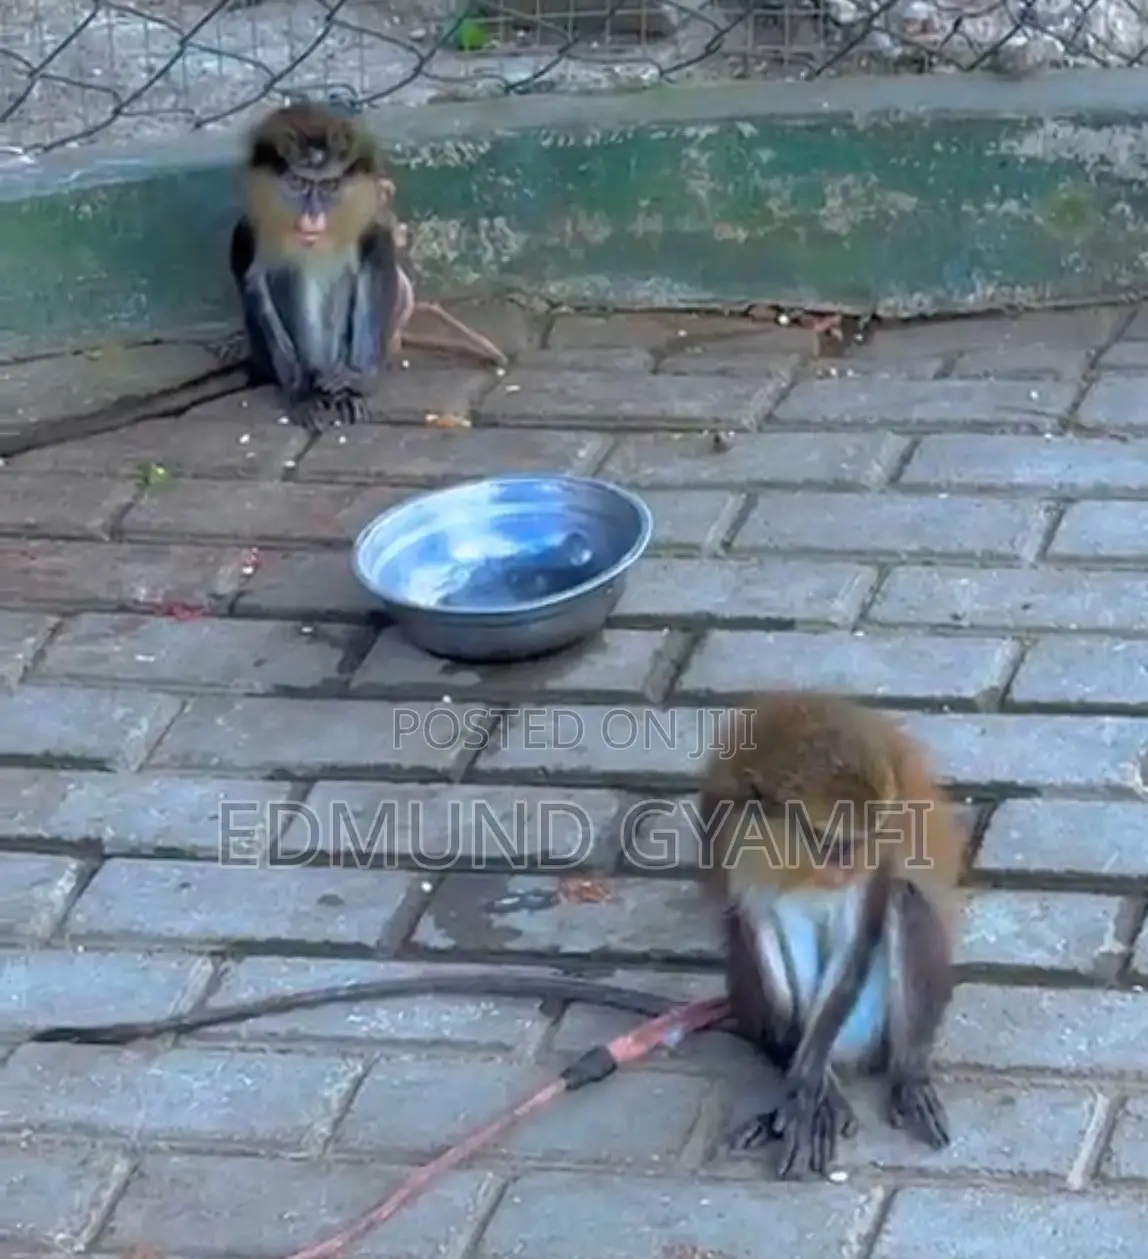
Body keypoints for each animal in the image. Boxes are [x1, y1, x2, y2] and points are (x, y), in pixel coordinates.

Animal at [695, 690, 966, 1180]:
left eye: (864, 840)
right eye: (833, 842)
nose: (849, 867)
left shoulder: (878, 853)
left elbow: (861, 933)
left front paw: (808, 1084)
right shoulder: (730, 837)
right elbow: (762, 920)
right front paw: (814, 1087)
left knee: (904, 897)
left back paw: (908, 1073)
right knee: (739, 932)